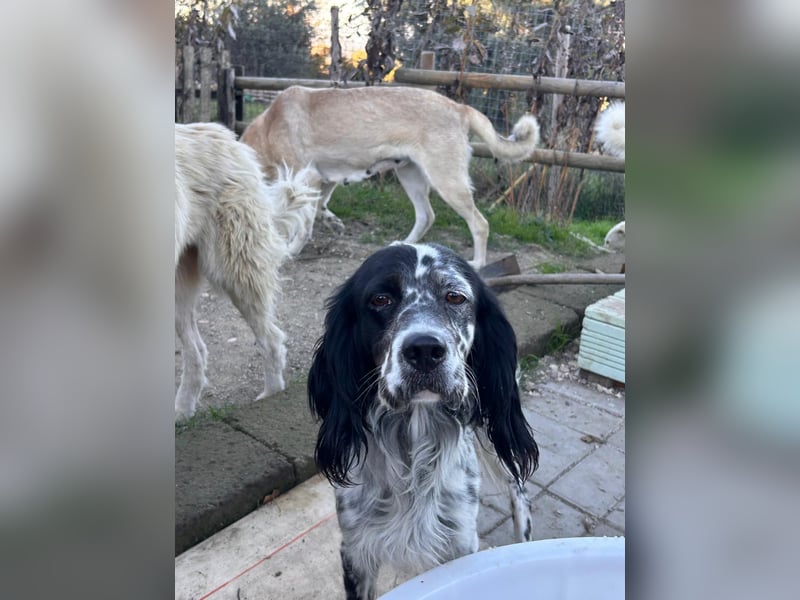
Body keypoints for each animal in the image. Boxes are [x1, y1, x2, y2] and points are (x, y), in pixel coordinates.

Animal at [174, 122, 319, 420]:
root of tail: (231, 140)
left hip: (238, 271)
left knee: (271, 339)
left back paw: (270, 396)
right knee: (197, 352)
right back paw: (182, 411)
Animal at [240, 86, 541, 269]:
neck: (268, 129)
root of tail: (460, 108)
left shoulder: (307, 178)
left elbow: (303, 222)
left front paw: (291, 249)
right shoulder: (324, 179)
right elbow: (319, 209)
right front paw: (333, 224)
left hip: (447, 182)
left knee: (479, 224)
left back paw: (477, 263)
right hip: (410, 175)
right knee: (427, 216)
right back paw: (404, 245)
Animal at [308, 242, 539, 599]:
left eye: (455, 296)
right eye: (380, 299)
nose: (425, 350)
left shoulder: (460, 544)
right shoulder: (356, 549)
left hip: (497, 431)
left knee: (520, 495)